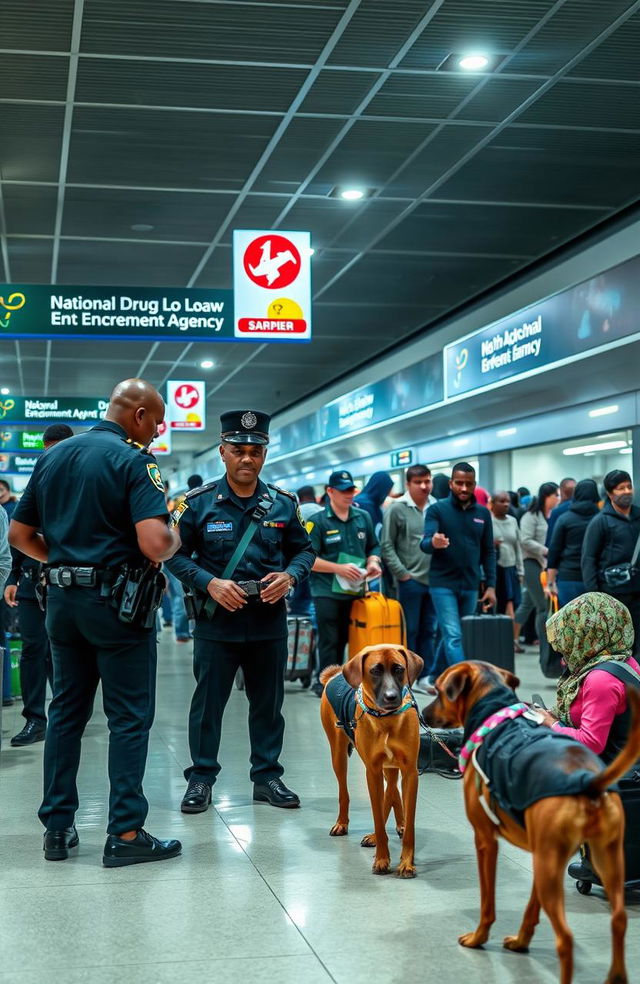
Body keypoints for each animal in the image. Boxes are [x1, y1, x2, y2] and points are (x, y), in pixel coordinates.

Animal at [320, 644, 424, 876]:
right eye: (374, 671)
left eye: (399, 669)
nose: (391, 697)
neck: (387, 719)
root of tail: (335, 673)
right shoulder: (372, 771)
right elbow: (377, 814)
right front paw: (382, 858)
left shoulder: (410, 772)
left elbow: (409, 820)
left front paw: (406, 862)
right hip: (338, 755)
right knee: (345, 792)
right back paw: (343, 824)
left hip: (391, 767)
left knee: (392, 789)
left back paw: (398, 825)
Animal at [420, 660, 640, 984]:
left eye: (440, 689)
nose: (423, 715)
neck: (494, 713)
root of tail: (587, 780)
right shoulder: (541, 855)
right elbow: (530, 909)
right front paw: (521, 941)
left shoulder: (485, 841)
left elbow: (487, 902)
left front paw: (478, 938)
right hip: (604, 860)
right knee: (619, 920)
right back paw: (616, 975)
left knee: (566, 939)